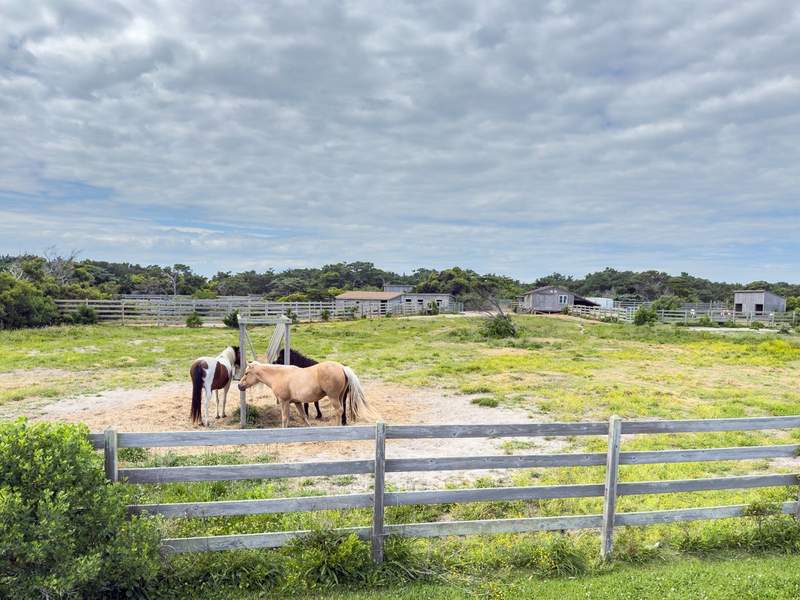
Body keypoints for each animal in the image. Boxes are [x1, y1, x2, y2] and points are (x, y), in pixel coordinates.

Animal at [237, 360, 377, 428]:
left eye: (246, 373)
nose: (239, 386)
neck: (279, 375)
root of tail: (342, 367)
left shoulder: (284, 401)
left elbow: (285, 417)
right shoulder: (297, 402)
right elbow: (304, 416)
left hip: (333, 397)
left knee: (339, 410)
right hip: (340, 396)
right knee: (342, 411)